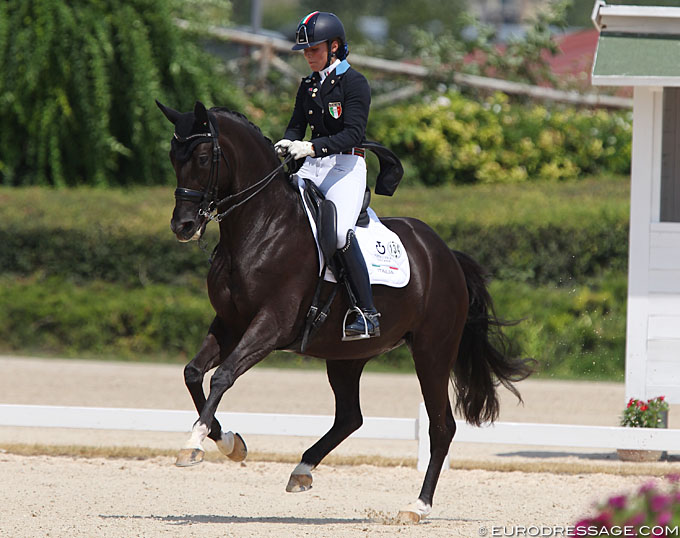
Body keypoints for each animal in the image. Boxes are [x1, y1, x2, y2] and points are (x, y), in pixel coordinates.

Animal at [155, 99, 532, 520]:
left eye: (204, 157)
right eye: (173, 156)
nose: (183, 226)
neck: (260, 227)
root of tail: (445, 254)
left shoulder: (271, 324)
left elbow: (222, 376)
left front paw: (193, 446)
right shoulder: (230, 323)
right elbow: (192, 373)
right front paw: (230, 443)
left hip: (432, 351)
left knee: (441, 426)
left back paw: (417, 506)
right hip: (346, 356)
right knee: (351, 416)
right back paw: (302, 470)